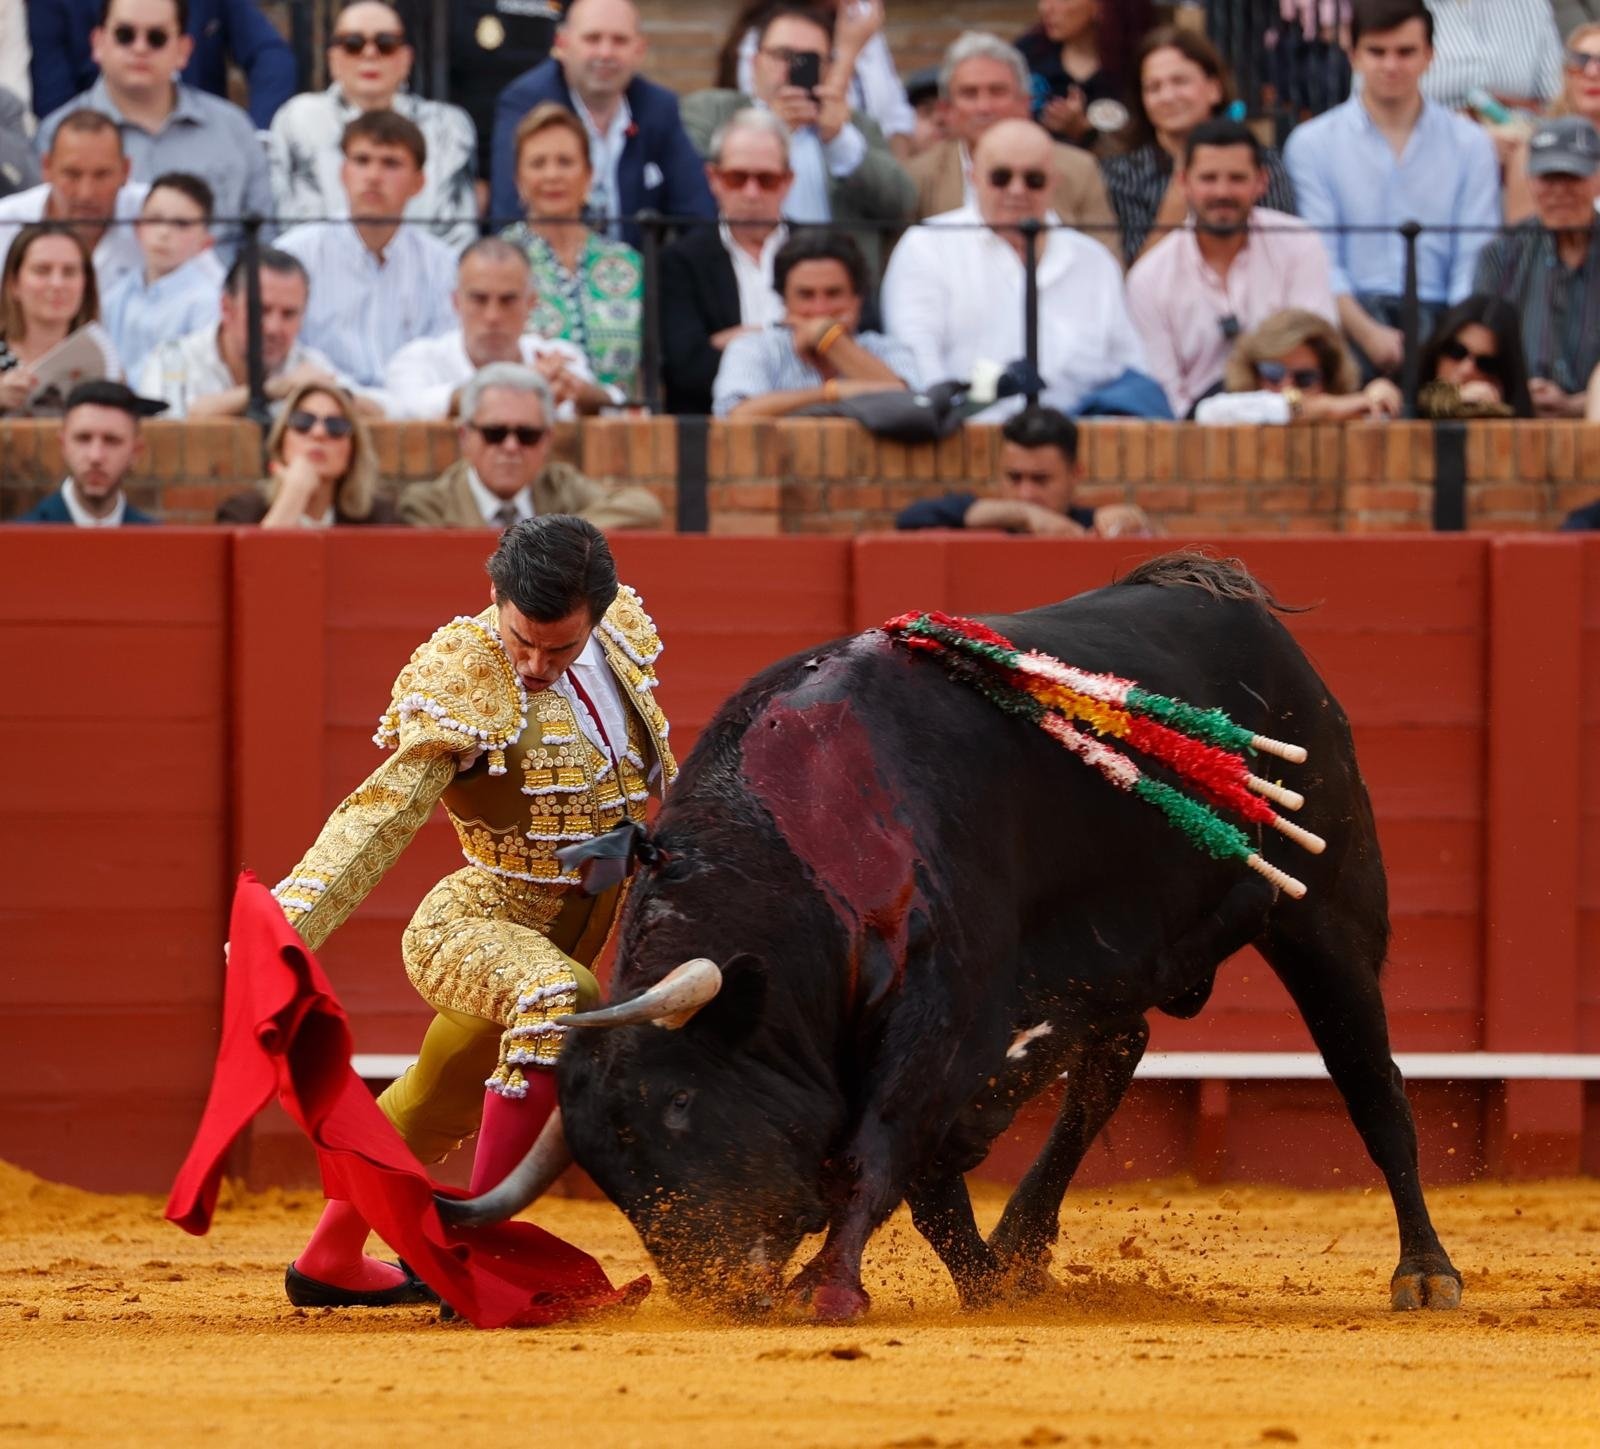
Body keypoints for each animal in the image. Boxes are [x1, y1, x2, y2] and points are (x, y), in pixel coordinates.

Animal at [440, 553, 1462, 1323]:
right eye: (607, 1166)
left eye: (683, 1103)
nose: (719, 1290)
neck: (804, 844)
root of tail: (1227, 595)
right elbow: (930, 1176)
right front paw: (987, 1280)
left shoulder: (944, 1012)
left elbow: (885, 1147)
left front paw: (830, 1287)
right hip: (1116, 966)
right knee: (1109, 1063)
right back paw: (1022, 1243)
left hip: (1326, 911)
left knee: (1370, 1079)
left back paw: (1425, 1271)